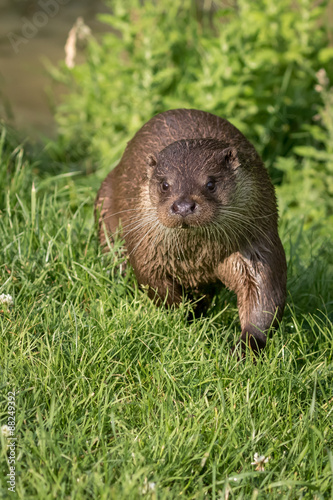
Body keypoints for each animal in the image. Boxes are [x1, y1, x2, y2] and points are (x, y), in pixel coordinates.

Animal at [94, 109, 286, 354]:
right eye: (165, 185)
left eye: (211, 184)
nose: (184, 206)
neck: (196, 259)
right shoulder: (147, 255)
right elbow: (160, 291)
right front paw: (188, 320)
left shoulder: (256, 246)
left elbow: (265, 296)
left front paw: (247, 347)